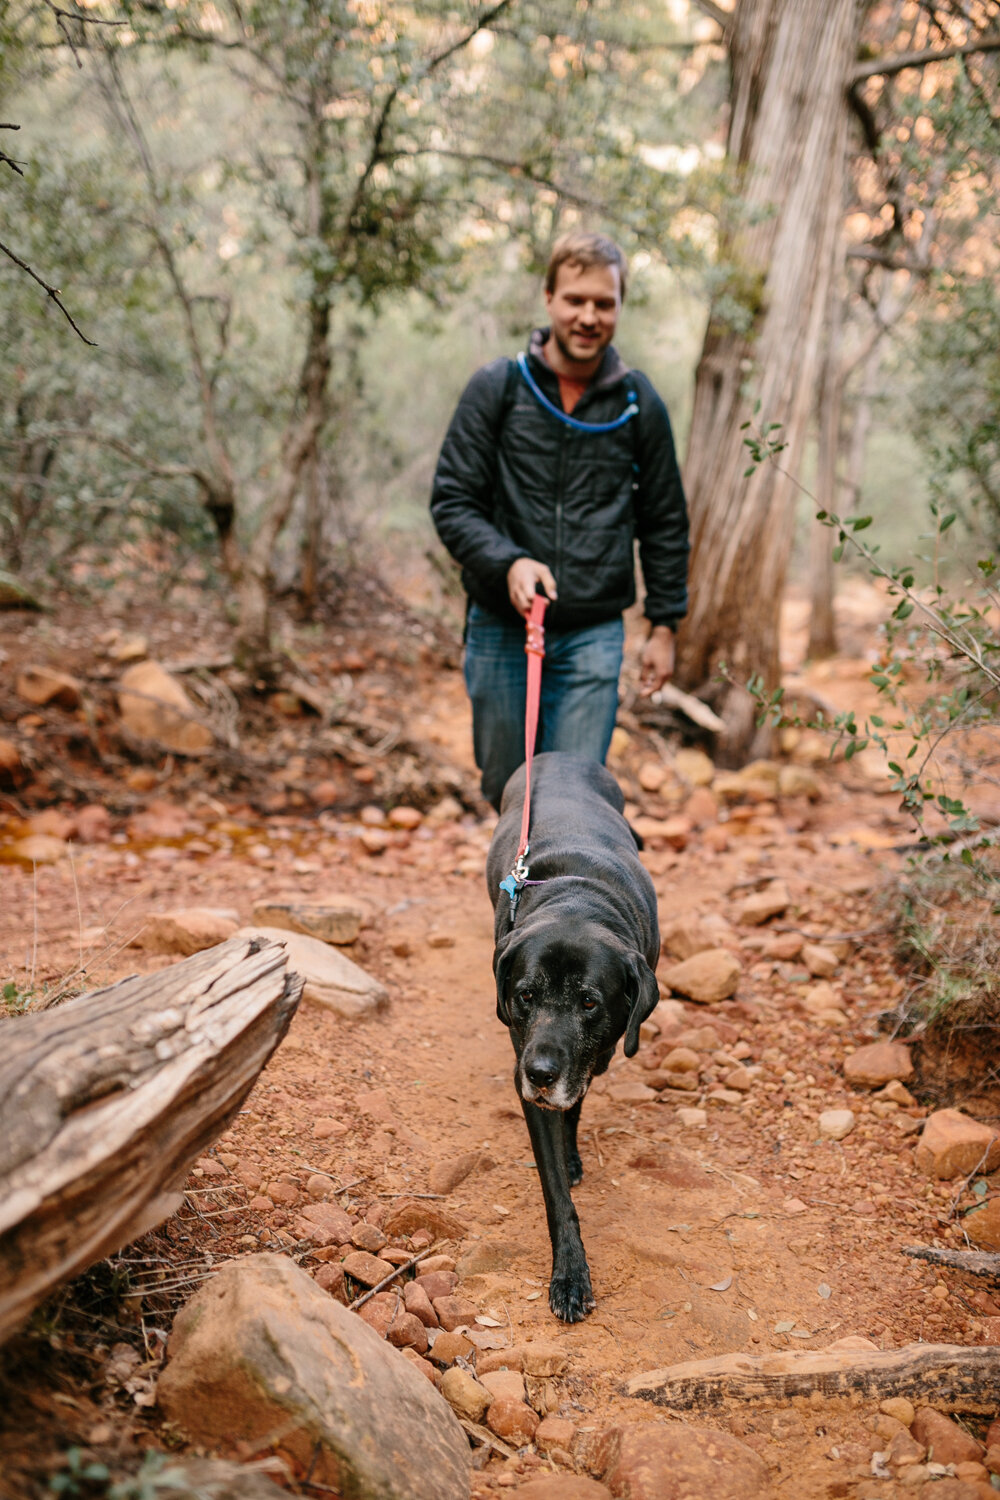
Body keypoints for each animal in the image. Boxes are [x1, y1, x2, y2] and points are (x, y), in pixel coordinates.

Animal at [485, 756, 659, 1320]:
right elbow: (556, 1194)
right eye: (524, 995)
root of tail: (560, 755)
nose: (539, 1073)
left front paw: (572, 1152)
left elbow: (575, 1107)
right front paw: (570, 1275)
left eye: (588, 1002)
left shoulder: (594, 1056)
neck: (576, 904)